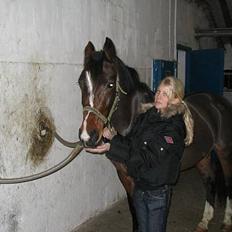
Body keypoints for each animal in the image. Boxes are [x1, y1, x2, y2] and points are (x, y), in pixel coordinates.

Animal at [77, 37, 232, 231]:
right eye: (81, 83)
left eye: (110, 84)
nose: (87, 136)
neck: (136, 118)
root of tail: (216, 101)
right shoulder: (125, 176)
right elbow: (135, 211)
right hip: (202, 155)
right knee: (209, 180)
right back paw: (204, 222)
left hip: (224, 152)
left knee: (228, 183)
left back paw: (226, 222)